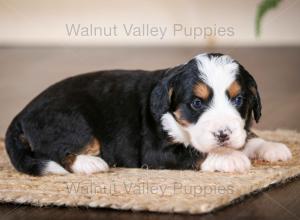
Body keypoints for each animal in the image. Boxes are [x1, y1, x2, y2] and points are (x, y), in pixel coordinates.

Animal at [4, 52, 290, 175]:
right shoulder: (155, 152)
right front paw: (229, 158)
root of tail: (21, 114)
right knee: (56, 151)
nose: (223, 134)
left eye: (238, 99)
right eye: (197, 103)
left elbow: (248, 136)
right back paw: (90, 163)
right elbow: (194, 153)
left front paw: (271, 147)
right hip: (73, 122)